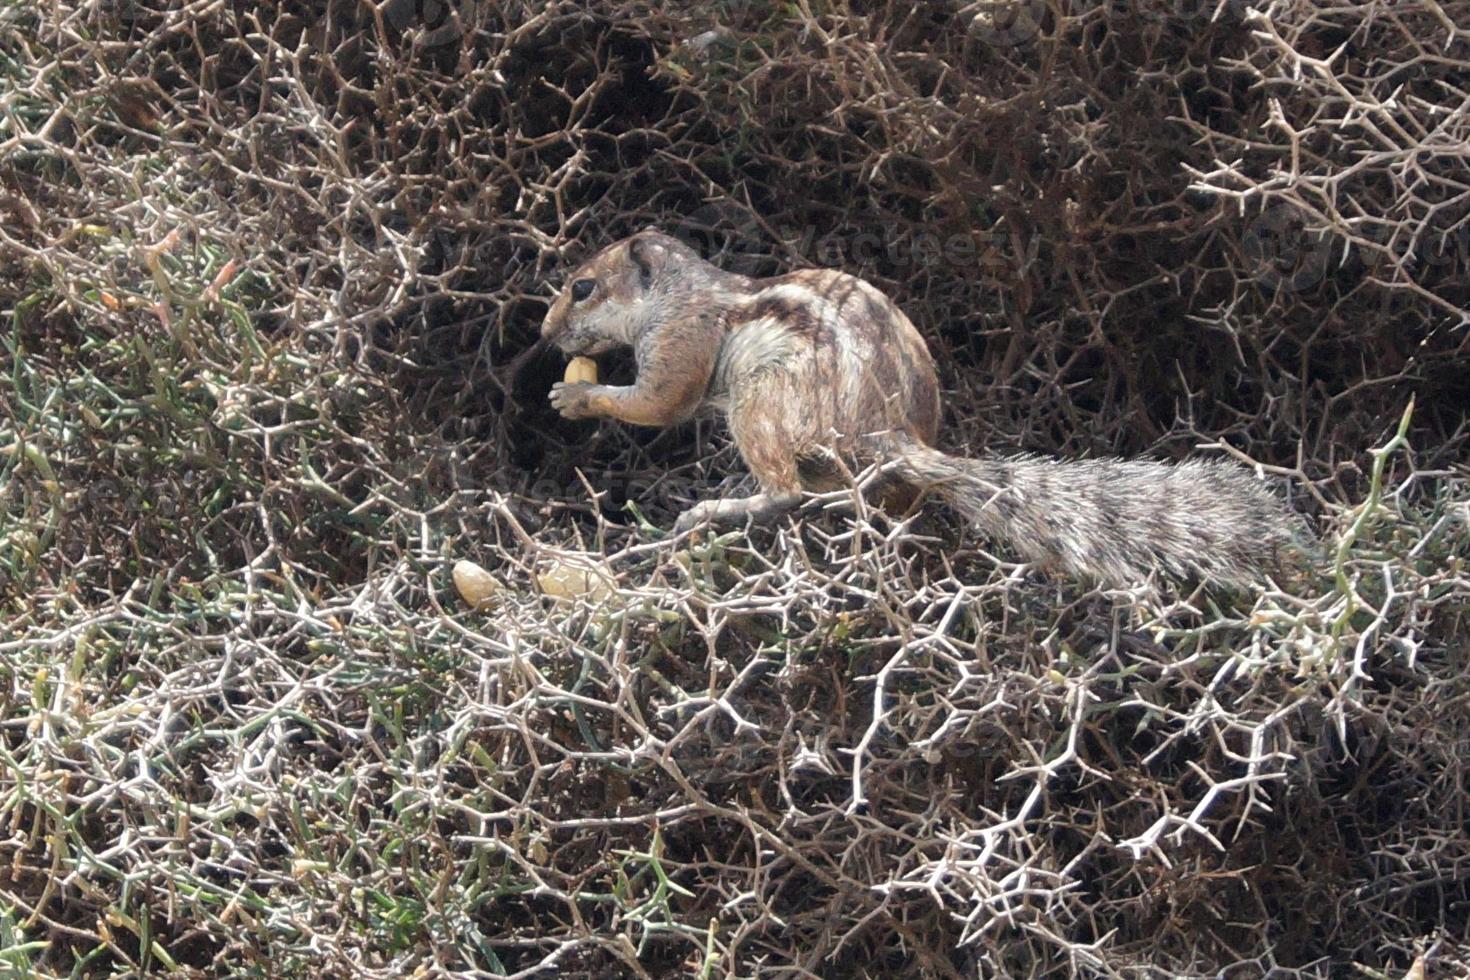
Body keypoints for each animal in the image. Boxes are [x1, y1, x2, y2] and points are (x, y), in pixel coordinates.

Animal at [538, 227, 1311, 590]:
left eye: (582, 287)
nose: (544, 335)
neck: (681, 292)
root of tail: (897, 435)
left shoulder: (681, 340)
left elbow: (658, 402)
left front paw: (576, 395)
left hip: (761, 404)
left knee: (784, 493)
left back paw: (717, 510)